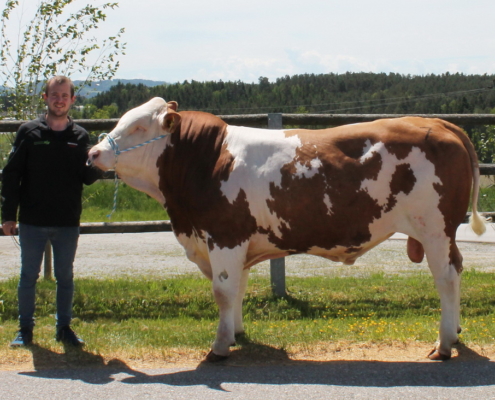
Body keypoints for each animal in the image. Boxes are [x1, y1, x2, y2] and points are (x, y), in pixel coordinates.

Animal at [87, 97, 486, 362]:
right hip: (442, 234)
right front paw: (237, 334)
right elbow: (239, 289)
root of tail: (439, 123)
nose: (93, 153)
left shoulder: (224, 237)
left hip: (434, 230)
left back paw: (444, 344)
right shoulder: (236, 243)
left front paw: (219, 347)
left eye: (138, 127)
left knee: (446, 278)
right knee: (458, 268)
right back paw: (456, 334)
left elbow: (223, 291)